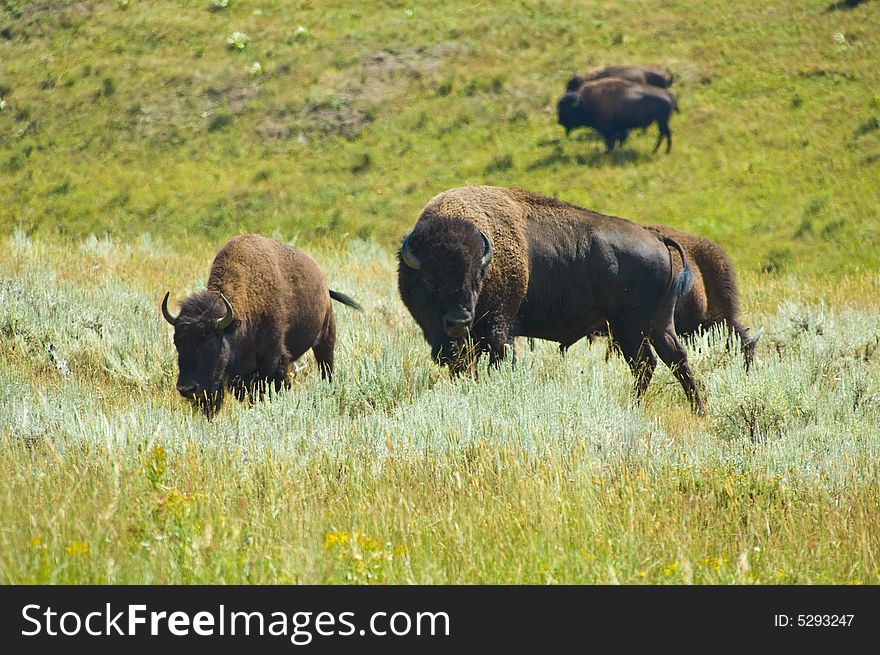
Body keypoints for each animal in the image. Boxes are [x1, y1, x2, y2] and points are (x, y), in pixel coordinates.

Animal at [162, 234, 360, 416]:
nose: (187, 389)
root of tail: (323, 284)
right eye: (177, 342)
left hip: (325, 337)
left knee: (326, 366)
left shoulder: (272, 359)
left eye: (211, 344)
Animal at [398, 184, 708, 412]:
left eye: (477, 278)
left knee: (646, 363)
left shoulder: (500, 331)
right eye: (430, 281)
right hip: (659, 323)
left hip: (631, 326)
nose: (459, 320)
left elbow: (497, 362)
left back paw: (637, 406)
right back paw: (698, 410)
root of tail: (657, 238)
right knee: (676, 358)